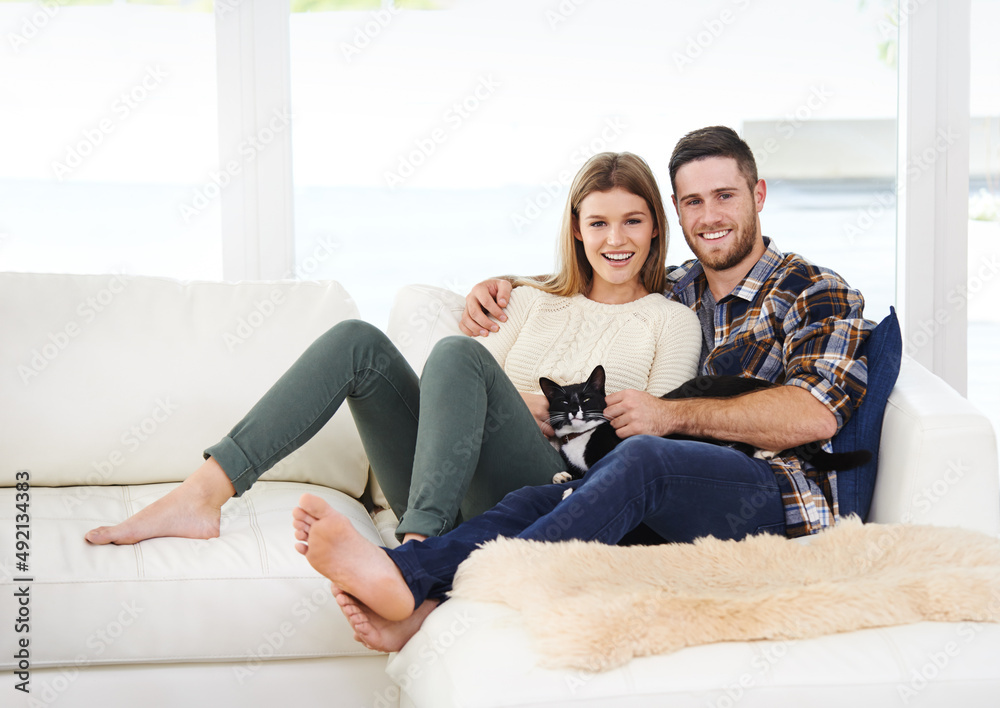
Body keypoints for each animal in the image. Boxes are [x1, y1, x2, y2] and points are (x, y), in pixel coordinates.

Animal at [540, 366, 868, 486]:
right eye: (564, 402)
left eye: (586, 398)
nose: (576, 412)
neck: (580, 438)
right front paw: (561, 475)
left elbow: (593, 474)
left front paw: (570, 487)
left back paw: (764, 451)